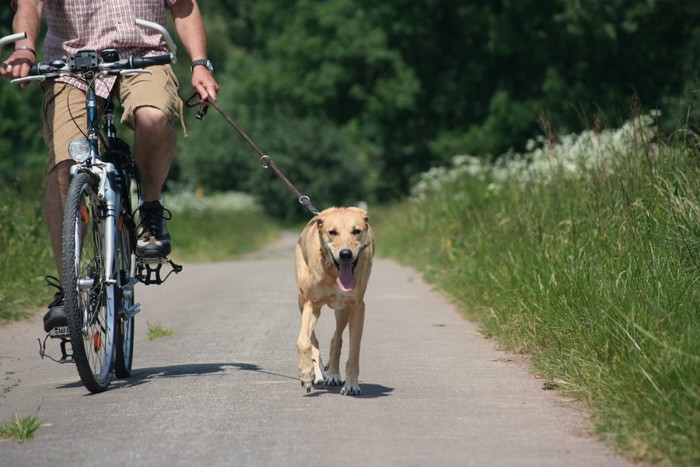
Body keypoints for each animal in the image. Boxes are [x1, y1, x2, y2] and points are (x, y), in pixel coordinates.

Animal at [294, 207, 374, 394]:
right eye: (332, 232)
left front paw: (351, 385)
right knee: (313, 339)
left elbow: (354, 351)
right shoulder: (311, 304)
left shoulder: (356, 307)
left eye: (356, 231)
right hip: (302, 300)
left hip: (342, 311)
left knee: (336, 339)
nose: (345, 254)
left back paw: (333, 374)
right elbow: (303, 341)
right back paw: (317, 373)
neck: (333, 272)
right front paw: (306, 373)